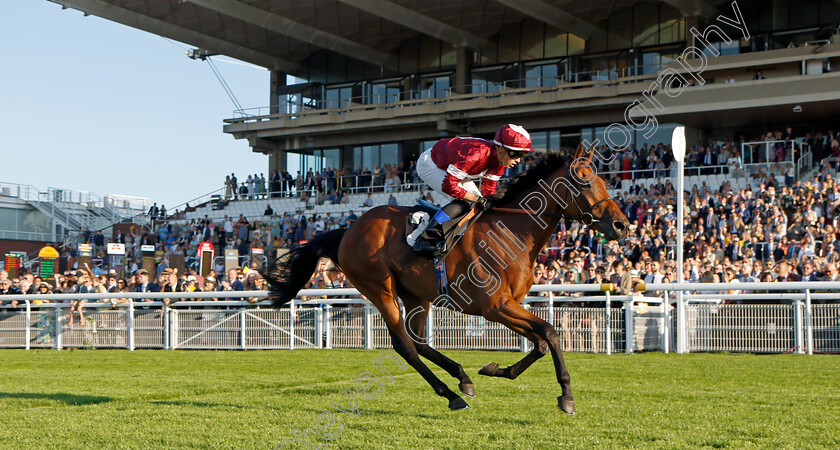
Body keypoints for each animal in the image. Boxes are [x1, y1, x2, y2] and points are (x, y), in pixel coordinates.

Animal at [264, 144, 632, 414]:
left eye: (603, 178)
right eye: (584, 180)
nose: (622, 225)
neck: (512, 232)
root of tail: (346, 230)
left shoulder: (509, 305)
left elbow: (541, 341)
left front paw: (495, 370)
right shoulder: (496, 306)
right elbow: (551, 333)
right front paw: (566, 396)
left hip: (416, 294)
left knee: (418, 341)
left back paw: (463, 378)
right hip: (380, 288)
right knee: (404, 345)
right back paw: (451, 394)